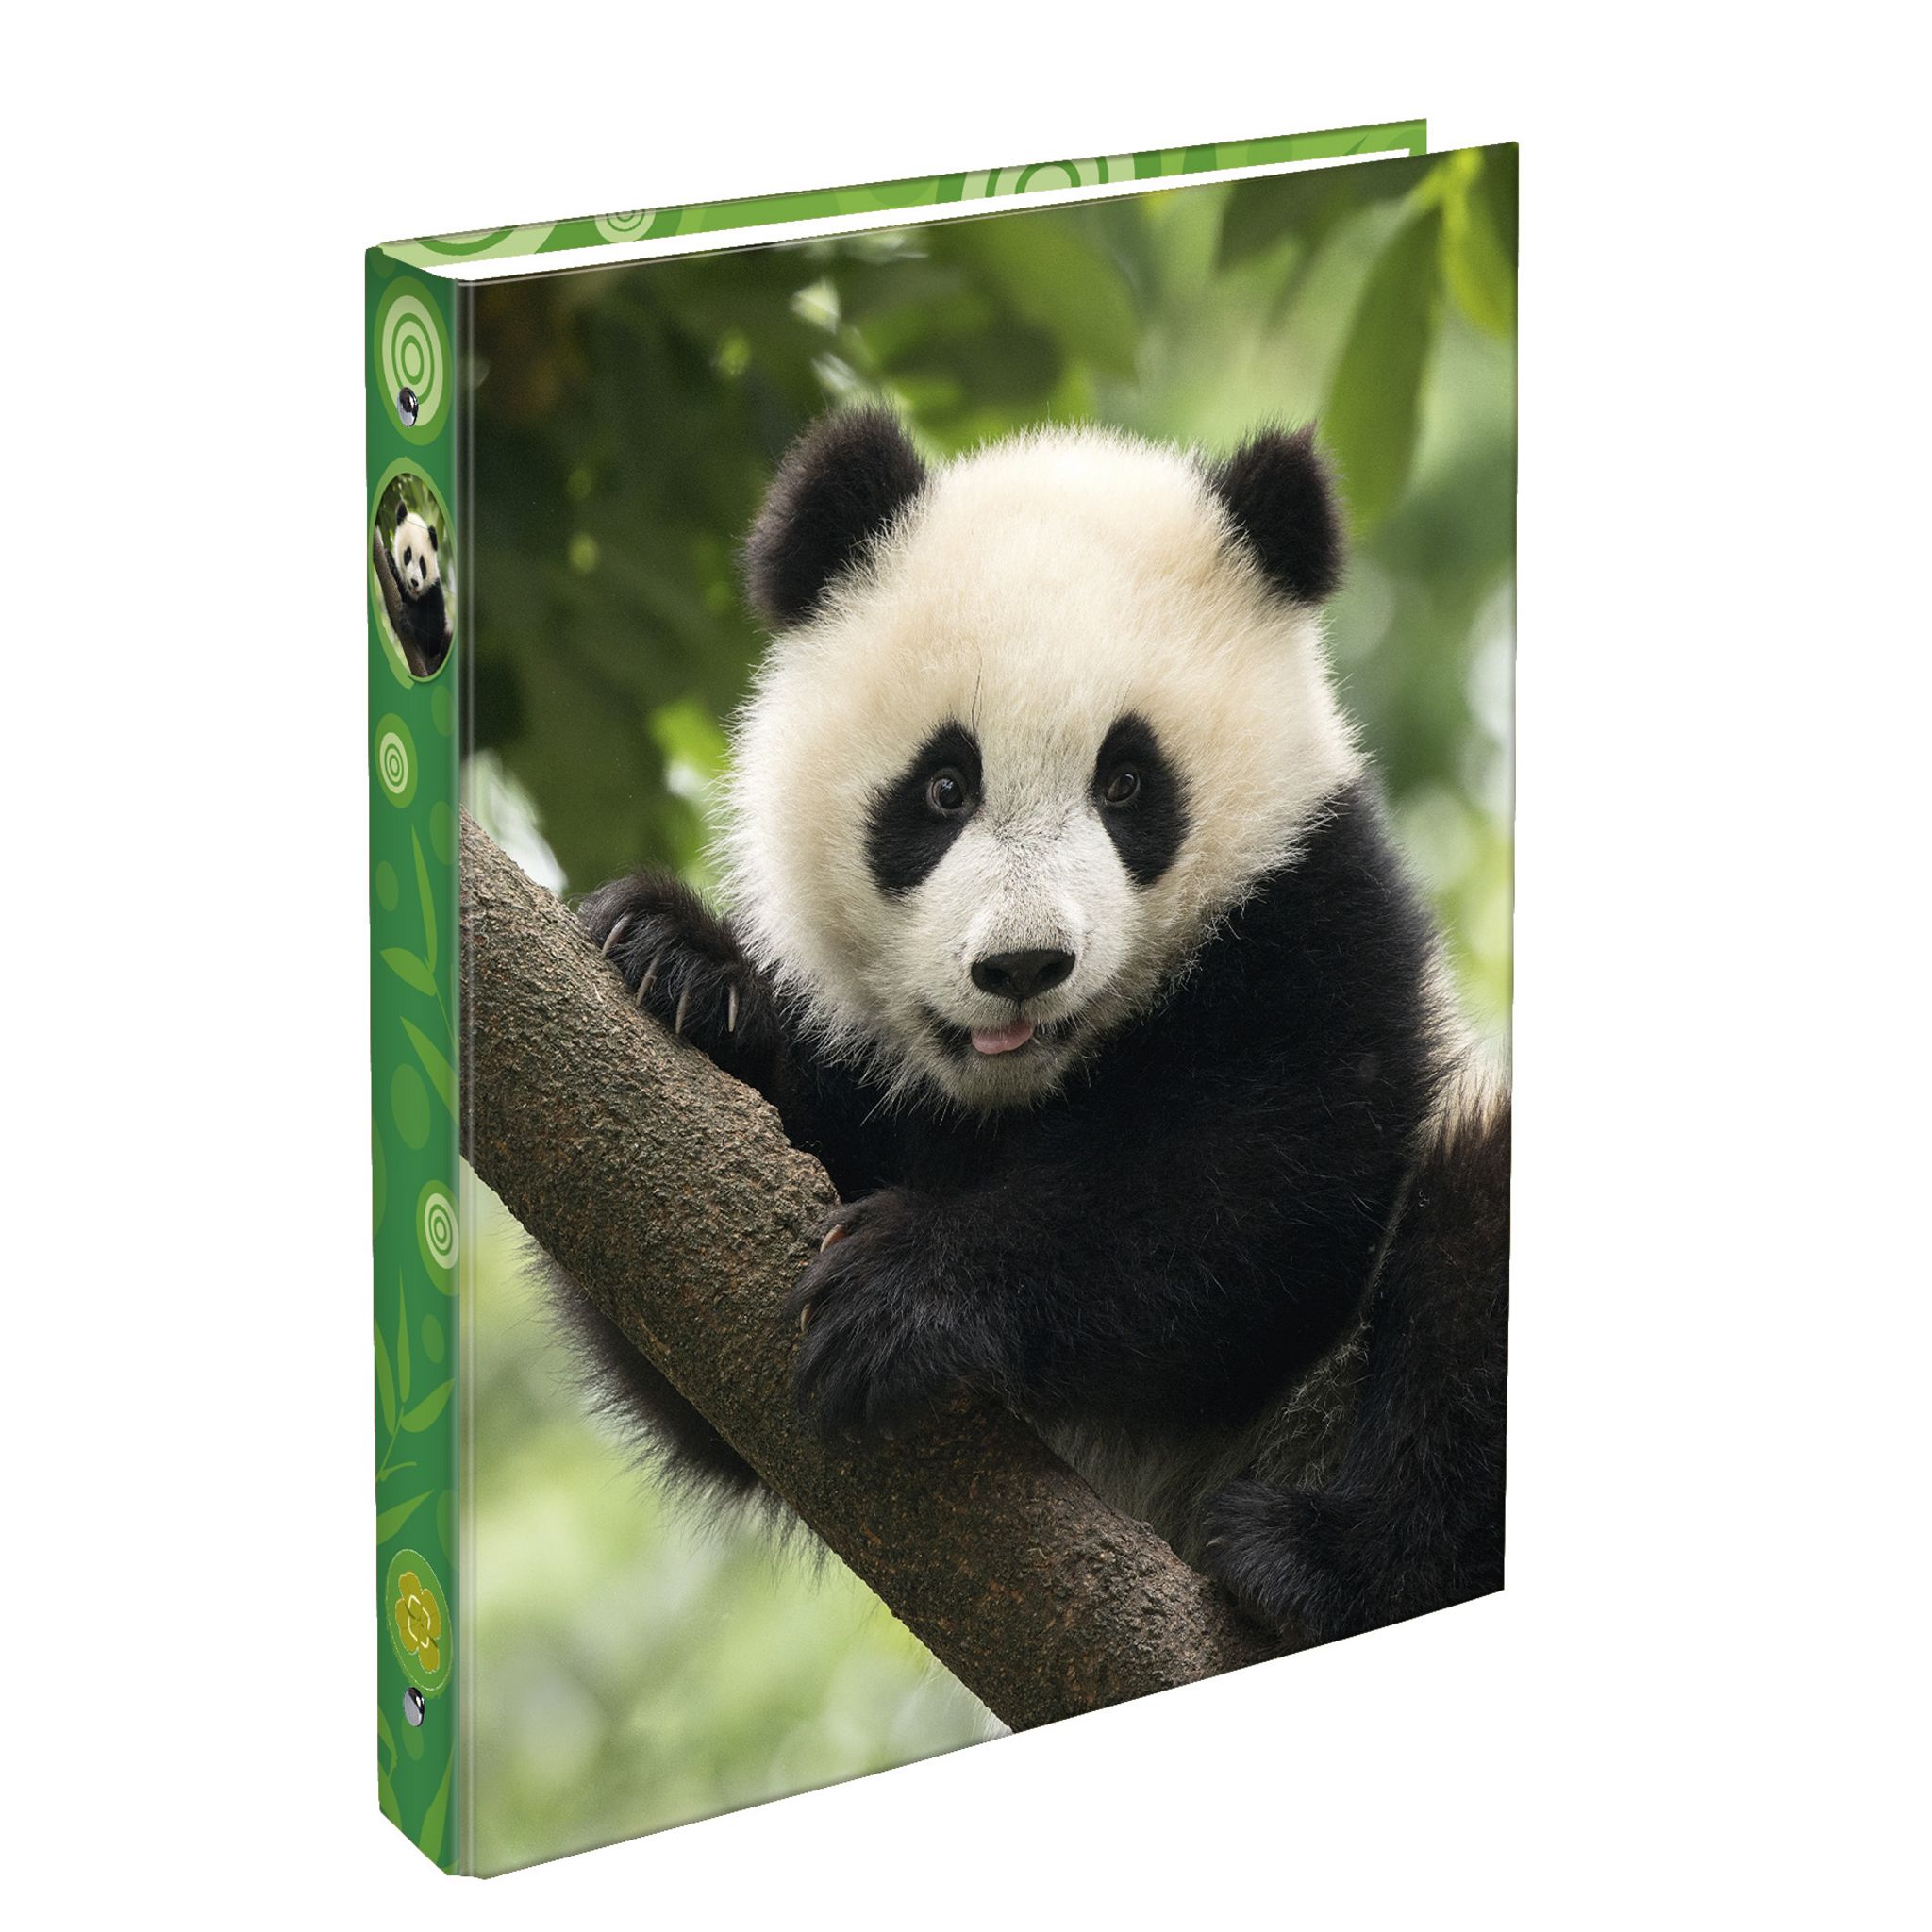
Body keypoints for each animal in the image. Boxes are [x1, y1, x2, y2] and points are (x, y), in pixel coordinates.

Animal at [385, 504, 450, 676]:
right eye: (407, 555)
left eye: (422, 563)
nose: (414, 582)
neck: (416, 596)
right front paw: (388, 560)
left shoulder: (435, 592)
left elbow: (434, 633)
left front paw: (409, 618)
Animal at [565, 411, 1510, 1645]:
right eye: (941, 787)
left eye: (1126, 783)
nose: (1022, 966)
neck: (1027, 1092)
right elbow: (691, 1339)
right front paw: (680, 968)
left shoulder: (1320, 915)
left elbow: (1255, 1199)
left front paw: (904, 1292)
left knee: (1468, 1256)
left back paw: (1308, 1558)